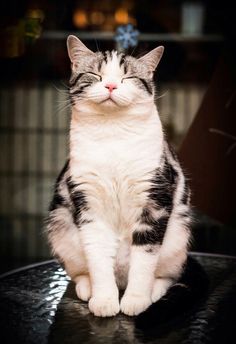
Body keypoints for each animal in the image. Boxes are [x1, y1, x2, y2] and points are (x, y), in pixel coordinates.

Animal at [46, 35, 192, 318]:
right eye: (95, 74)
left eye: (128, 77)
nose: (111, 85)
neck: (112, 132)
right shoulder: (88, 205)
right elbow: (98, 258)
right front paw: (104, 300)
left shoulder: (154, 203)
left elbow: (144, 260)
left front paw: (136, 299)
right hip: (61, 229)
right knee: (80, 272)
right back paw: (87, 288)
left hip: (178, 237)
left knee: (168, 276)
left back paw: (153, 292)